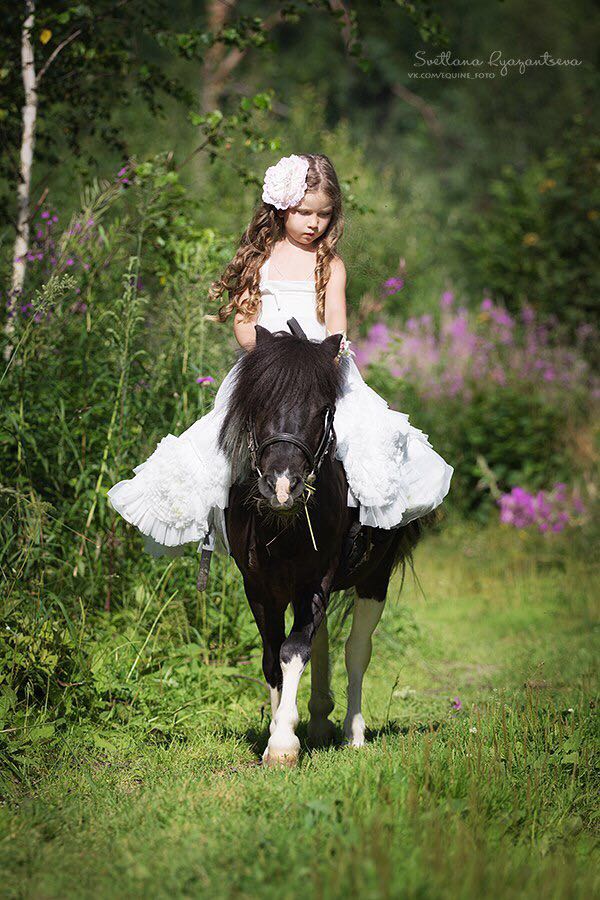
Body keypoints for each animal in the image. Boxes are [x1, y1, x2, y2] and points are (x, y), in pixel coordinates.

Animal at [218, 323, 436, 766]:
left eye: (322, 411)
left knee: (356, 650)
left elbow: (294, 650)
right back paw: (318, 721)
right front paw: (277, 731)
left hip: (374, 579)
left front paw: (283, 743)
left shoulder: (317, 578)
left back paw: (353, 732)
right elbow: (273, 657)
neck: (283, 525)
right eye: (258, 403)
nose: (283, 485)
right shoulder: (259, 587)